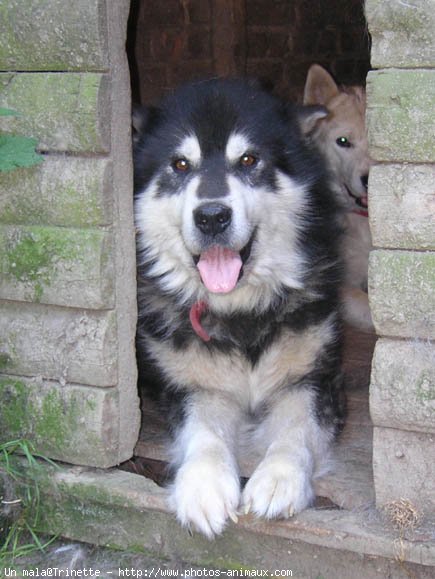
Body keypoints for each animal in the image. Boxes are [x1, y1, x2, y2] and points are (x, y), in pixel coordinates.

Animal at [135, 78, 346, 540]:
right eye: (180, 165)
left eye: (248, 160)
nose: (212, 216)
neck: (241, 311)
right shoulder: (191, 387)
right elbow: (204, 431)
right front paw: (204, 485)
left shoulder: (316, 381)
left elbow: (296, 430)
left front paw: (280, 477)